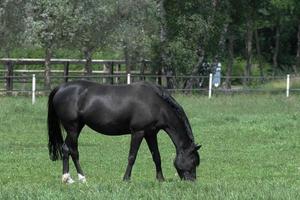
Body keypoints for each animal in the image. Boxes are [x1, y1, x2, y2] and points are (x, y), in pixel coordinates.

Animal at [47, 80, 202, 184]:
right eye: (193, 161)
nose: (192, 181)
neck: (156, 104)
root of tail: (60, 88)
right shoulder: (138, 132)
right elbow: (132, 156)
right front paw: (126, 179)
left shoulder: (151, 133)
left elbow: (156, 156)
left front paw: (160, 179)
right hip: (73, 128)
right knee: (73, 151)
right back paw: (81, 177)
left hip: (76, 127)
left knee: (66, 149)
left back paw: (68, 178)